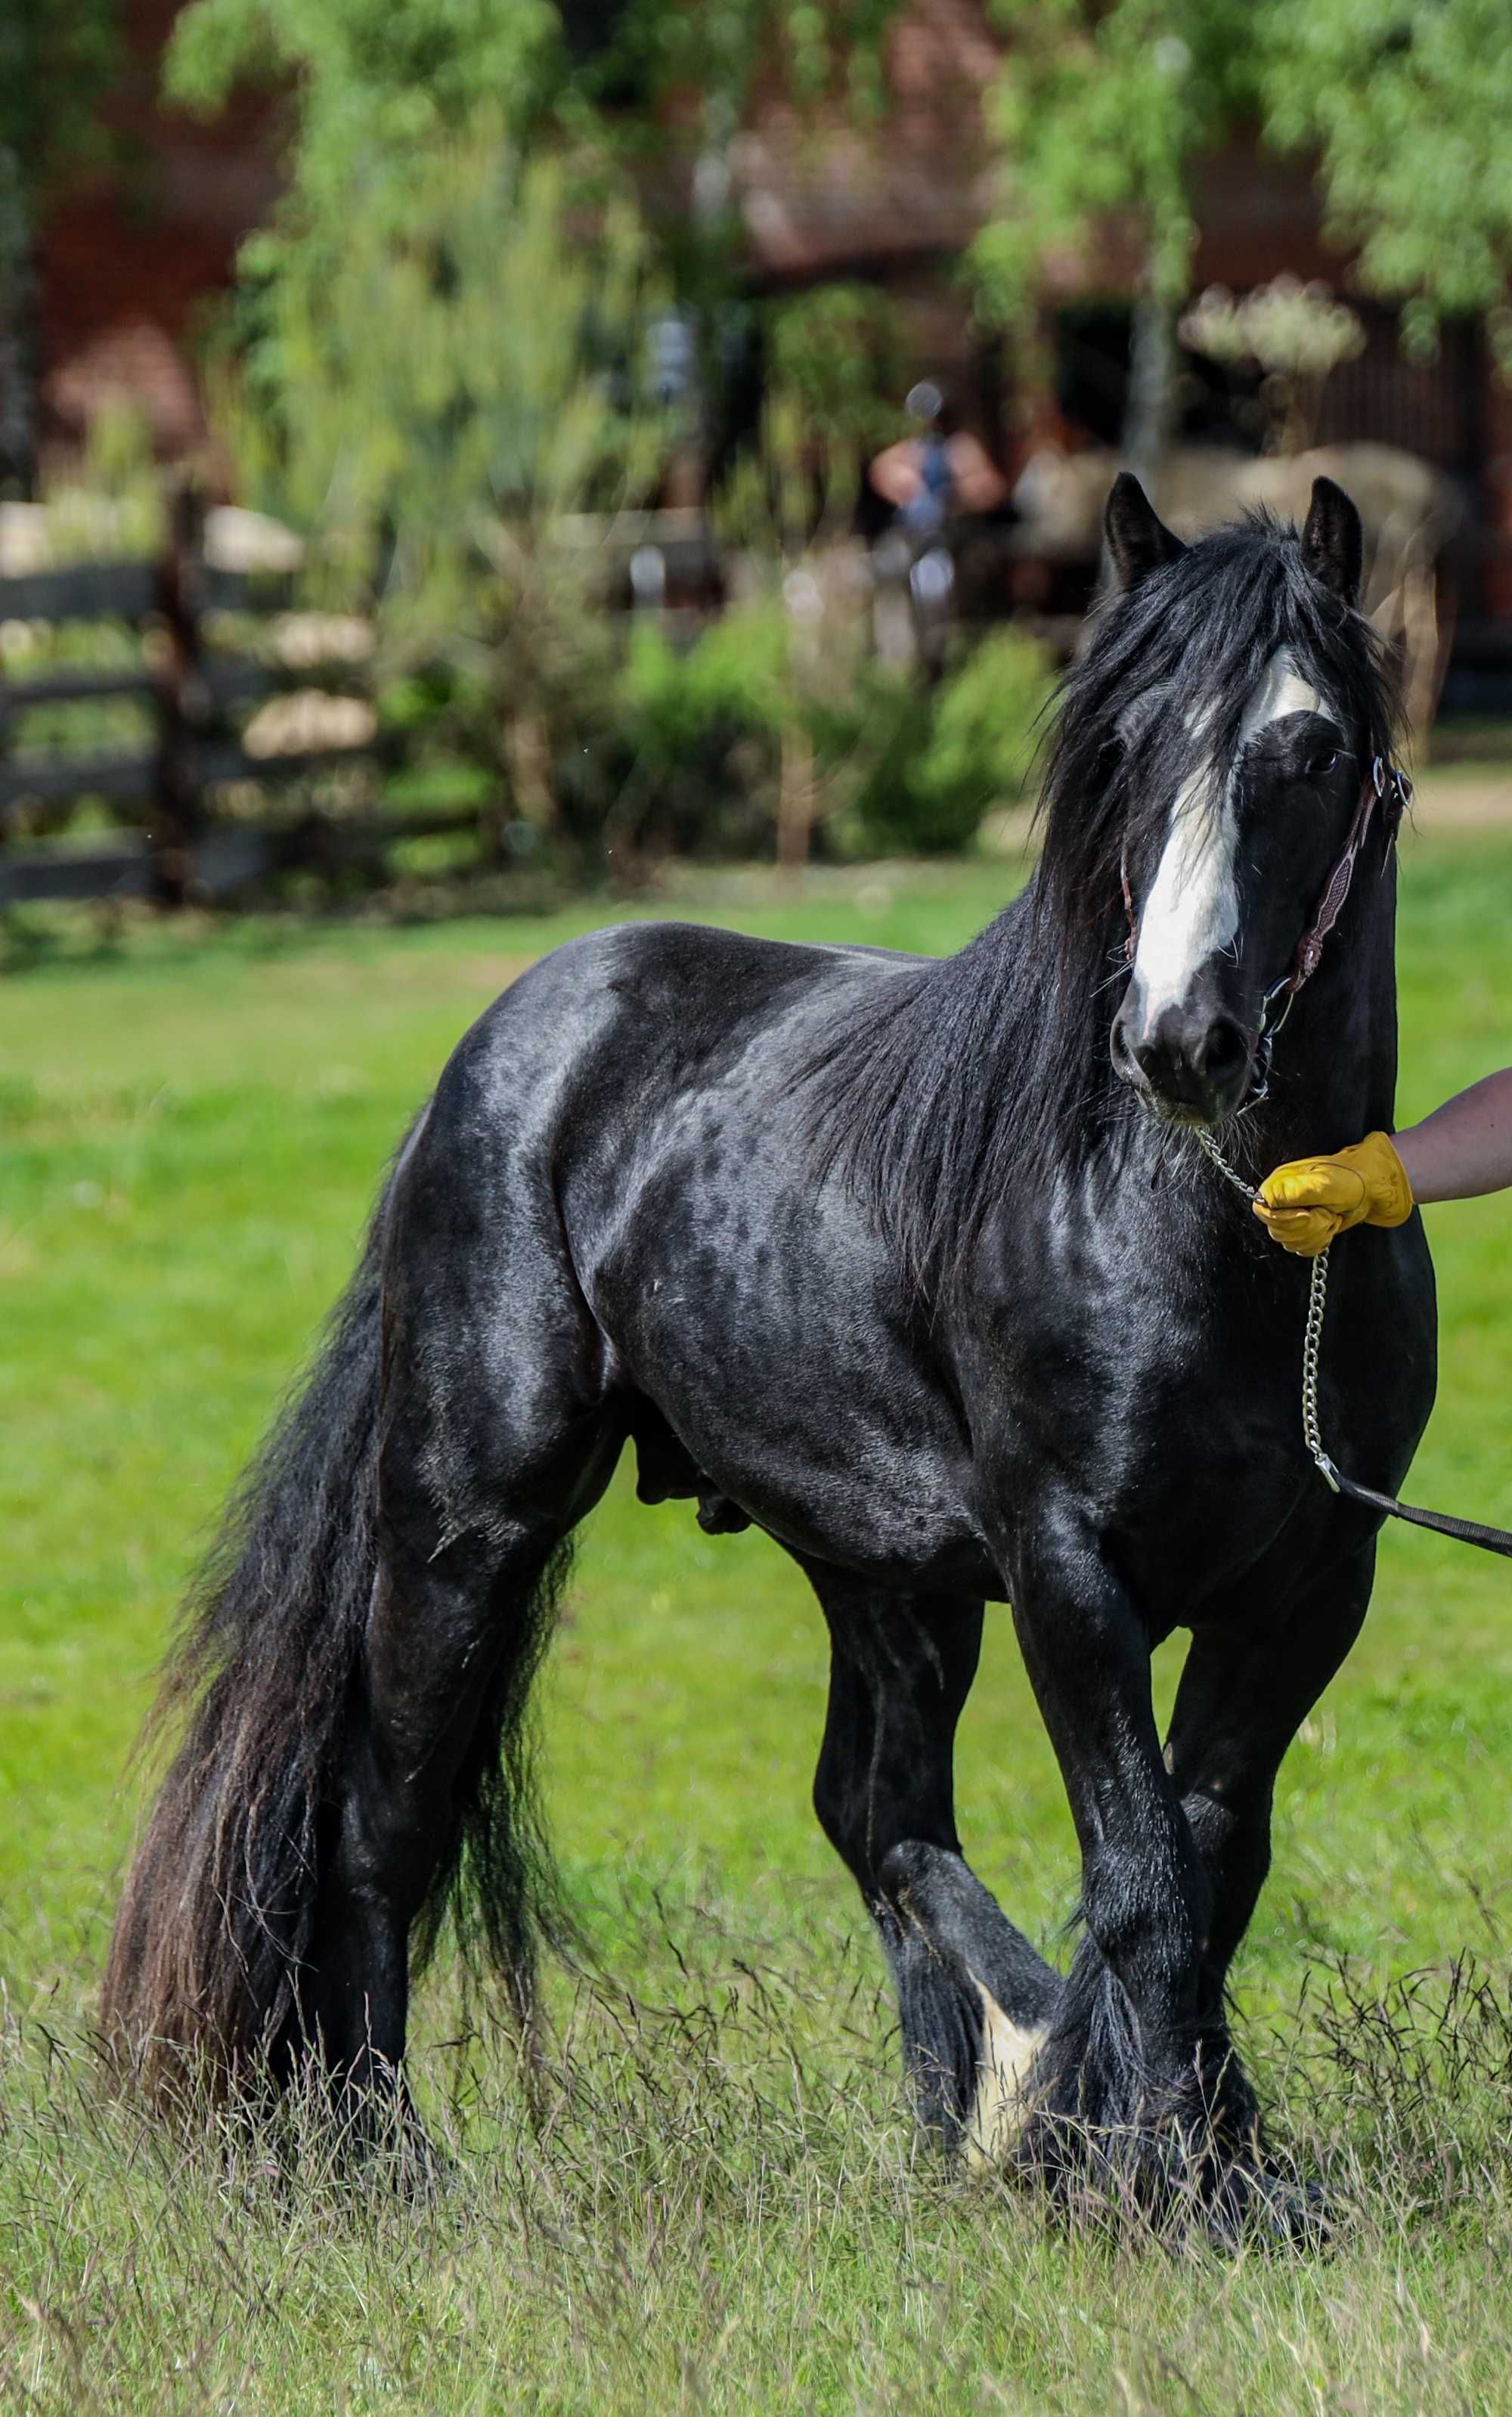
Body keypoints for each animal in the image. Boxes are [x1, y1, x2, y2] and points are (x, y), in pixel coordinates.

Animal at [103, 481, 1420, 2233]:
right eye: (1125, 743)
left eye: (1311, 748)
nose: (1176, 1039)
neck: (1233, 1239)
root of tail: (503, 1045)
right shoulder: (1072, 1573)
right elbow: (1144, 1879)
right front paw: (1159, 2183)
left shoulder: (1309, 1583)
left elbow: (1210, 1865)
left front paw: (1207, 2160)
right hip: (465, 1520)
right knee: (387, 1820)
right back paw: (390, 2159)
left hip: (885, 1573)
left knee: (875, 1810)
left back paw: (963, 2119)